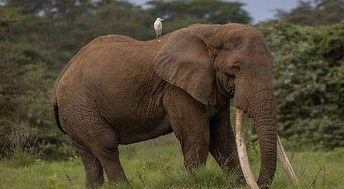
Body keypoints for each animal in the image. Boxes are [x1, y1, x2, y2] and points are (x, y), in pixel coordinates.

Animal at [52, 23, 296, 188]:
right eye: (235, 68)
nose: (257, 182)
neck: (215, 32)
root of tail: (61, 76)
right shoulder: (177, 89)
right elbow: (198, 137)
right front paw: (192, 184)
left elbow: (223, 139)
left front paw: (238, 184)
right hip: (80, 105)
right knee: (106, 146)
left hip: (75, 111)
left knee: (88, 156)